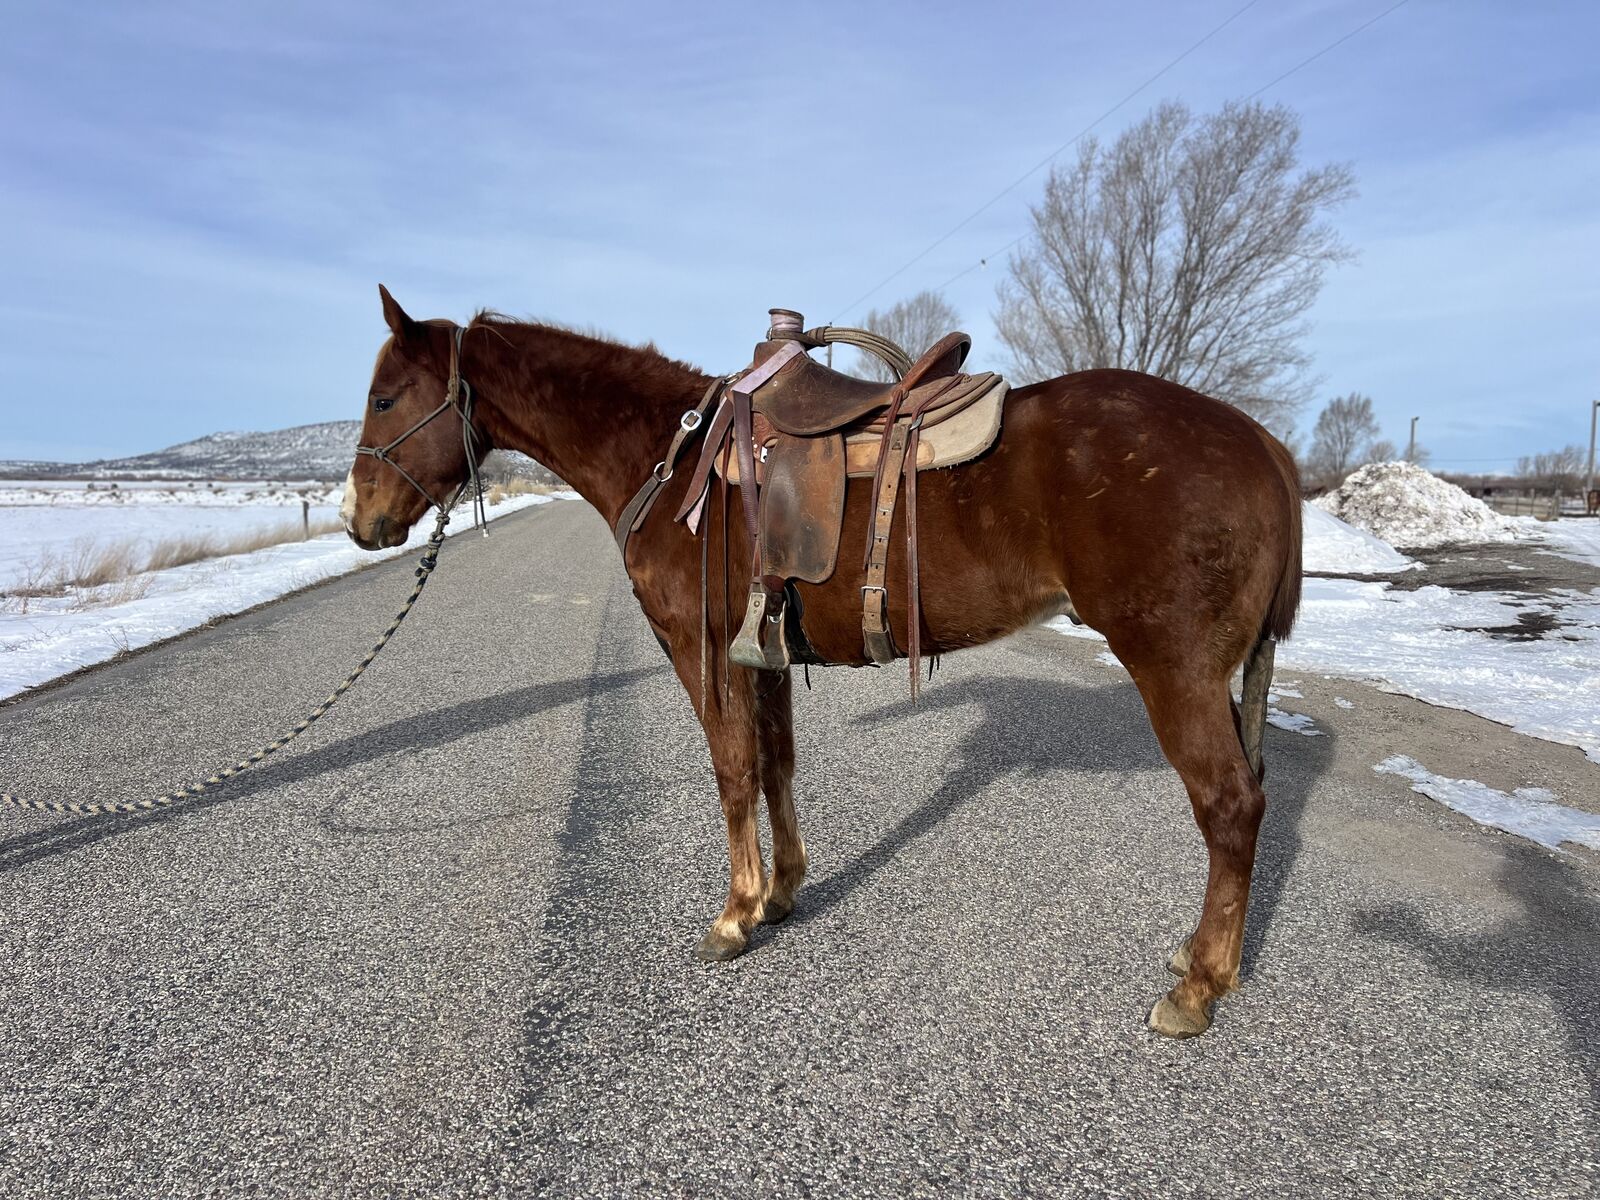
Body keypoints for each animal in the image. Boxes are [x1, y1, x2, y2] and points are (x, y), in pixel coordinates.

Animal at [341, 286, 1303, 1038]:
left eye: (385, 399)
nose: (359, 520)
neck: (672, 460)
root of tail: (1264, 444)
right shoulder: (764, 655)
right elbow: (776, 765)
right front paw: (782, 891)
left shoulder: (705, 654)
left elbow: (733, 770)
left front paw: (735, 915)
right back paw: (1204, 957)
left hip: (1173, 668)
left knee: (1229, 806)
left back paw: (1197, 987)